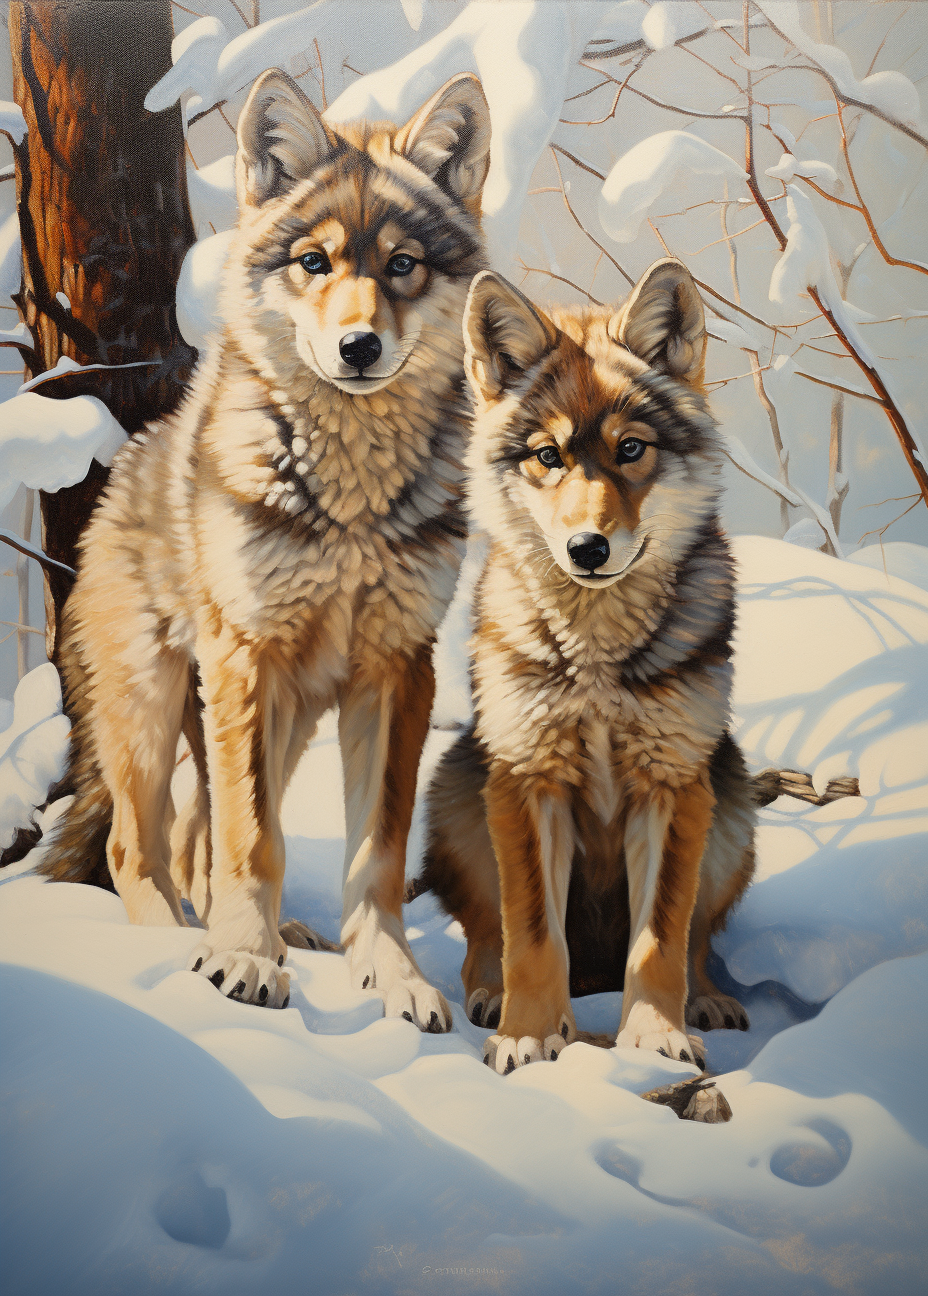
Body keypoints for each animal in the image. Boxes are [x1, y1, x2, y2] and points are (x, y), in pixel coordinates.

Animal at [39, 67, 491, 1029]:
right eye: (313, 263)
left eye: (403, 264)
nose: (360, 346)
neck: (351, 499)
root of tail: (122, 476)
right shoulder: (245, 657)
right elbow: (252, 842)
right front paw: (244, 962)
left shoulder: (399, 668)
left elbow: (375, 851)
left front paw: (392, 978)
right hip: (160, 707)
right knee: (142, 845)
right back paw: (177, 944)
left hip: (281, 719)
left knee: (200, 837)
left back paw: (275, 936)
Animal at [421, 261, 757, 1071]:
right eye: (549, 456)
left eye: (631, 450)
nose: (588, 549)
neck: (598, 655)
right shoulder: (527, 780)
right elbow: (534, 939)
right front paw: (529, 1034)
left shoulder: (674, 785)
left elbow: (661, 940)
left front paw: (656, 1038)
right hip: (459, 793)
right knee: (485, 935)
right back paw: (489, 999)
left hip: (731, 806)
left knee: (699, 942)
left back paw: (708, 1003)